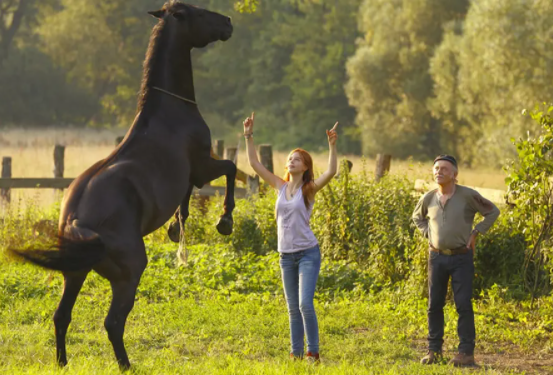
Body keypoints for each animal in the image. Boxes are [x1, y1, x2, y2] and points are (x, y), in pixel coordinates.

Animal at [10, 1, 235, 368]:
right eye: (198, 12)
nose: (227, 22)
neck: (169, 112)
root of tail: (77, 222)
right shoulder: (203, 166)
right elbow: (230, 169)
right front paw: (225, 220)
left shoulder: (189, 175)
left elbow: (186, 199)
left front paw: (177, 227)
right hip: (129, 273)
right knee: (113, 322)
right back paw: (127, 366)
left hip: (74, 274)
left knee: (61, 317)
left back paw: (63, 363)